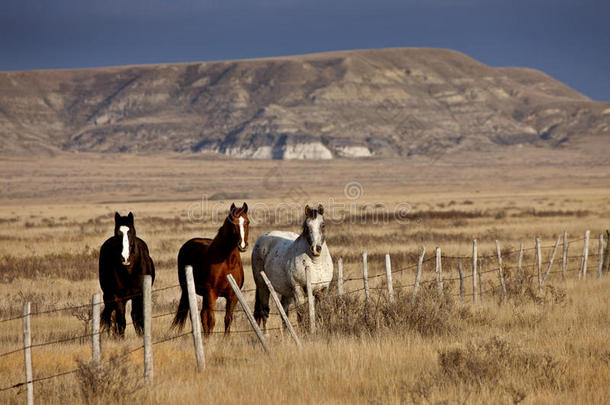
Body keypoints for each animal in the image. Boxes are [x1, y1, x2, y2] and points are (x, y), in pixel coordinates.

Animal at [170, 202, 248, 334]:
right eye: (233, 223)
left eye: (247, 222)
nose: (242, 245)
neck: (227, 263)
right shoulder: (211, 294)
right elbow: (211, 320)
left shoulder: (233, 296)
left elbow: (228, 319)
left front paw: (225, 338)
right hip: (189, 291)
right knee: (196, 316)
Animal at [251, 202, 332, 332]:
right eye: (307, 227)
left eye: (323, 225)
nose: (316, 249)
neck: (315, 264)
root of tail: (263, 237)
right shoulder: (298, 290)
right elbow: (301, 315)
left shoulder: (323, 290)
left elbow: (320, 313)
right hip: (263, 286)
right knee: (265, 311)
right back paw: (266, 334)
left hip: (286, 292)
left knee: (284, 312)